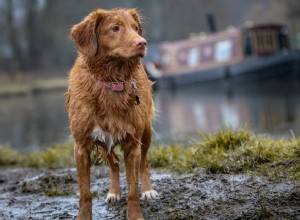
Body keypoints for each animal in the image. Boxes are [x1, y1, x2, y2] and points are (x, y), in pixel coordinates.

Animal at [65, 7, 157, 220]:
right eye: (115, 28)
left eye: (135, 28)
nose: (142, 42)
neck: (111, 81)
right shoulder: (81, 146)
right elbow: (85, 192)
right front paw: (83, 216)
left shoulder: (133, 144)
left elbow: (133, 189)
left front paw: (135, 215)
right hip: (105, 141)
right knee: (113, 164)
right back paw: (114, 192)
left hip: (145, 133)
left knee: (144, 164)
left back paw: (148, 189)